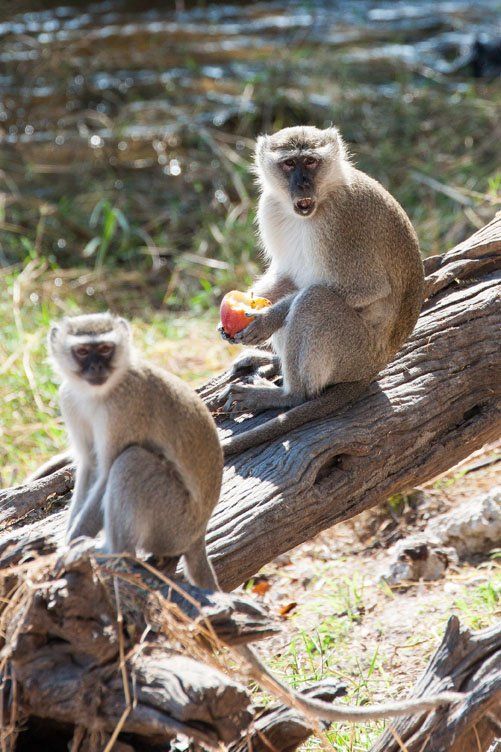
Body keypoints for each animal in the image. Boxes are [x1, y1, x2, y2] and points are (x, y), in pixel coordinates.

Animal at [48, 312, 458, 724]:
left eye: (105, 349)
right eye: (83, 352)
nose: (96, 369)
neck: (98, 394)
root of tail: (198, 531)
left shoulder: (125, 409)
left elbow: (105, 471)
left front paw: (69, 550)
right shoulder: (71, 401)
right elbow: (89, 469)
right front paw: (63, 545)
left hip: (173, 515)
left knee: (131, 462)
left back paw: (115, 554)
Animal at [219, 124, 422, 456]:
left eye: (311, 162)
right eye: (290, 164)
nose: (302, 184)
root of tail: (375, 365)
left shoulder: (344, 223)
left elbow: (368, 289)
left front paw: (267, 319)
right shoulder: (270, 208)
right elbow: (288, 276)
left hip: (354, 352)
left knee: (314, 300)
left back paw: (290, 395)